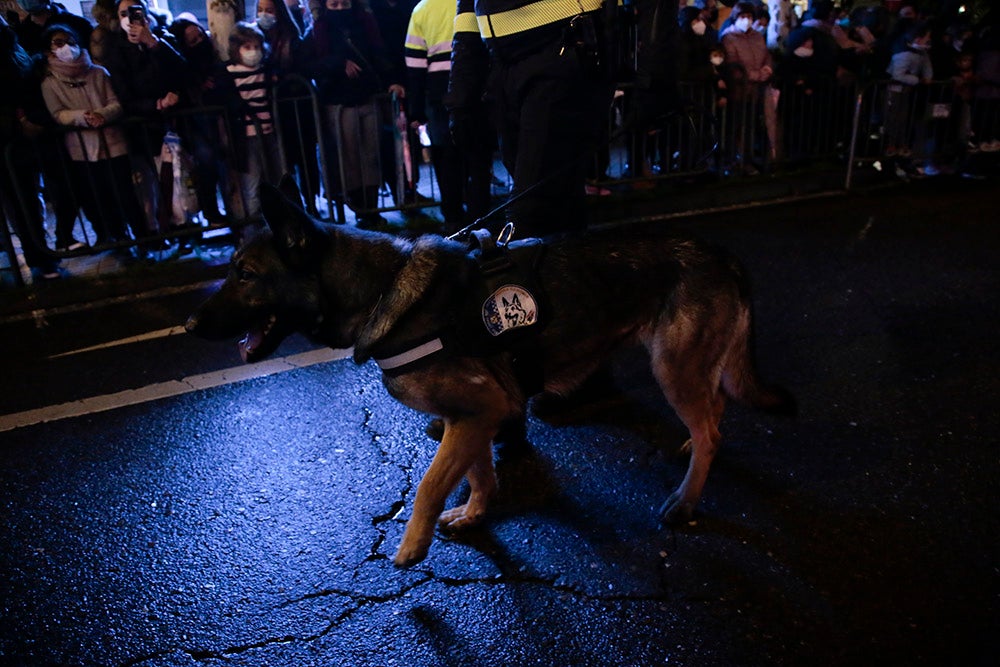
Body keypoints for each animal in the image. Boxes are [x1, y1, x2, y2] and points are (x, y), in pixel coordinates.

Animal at [188, 184, 792, 568]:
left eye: (245, 274)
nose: (190, 324)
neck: (382, 289)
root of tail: (720, 254)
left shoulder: (477, 411)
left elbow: (431, 483)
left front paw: (413, 543)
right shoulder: (475, 416)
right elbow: (477, 471)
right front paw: (476, 513)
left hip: (672, 366)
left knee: (711, 428)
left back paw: (685, 499)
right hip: (686, 368)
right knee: (713, 413)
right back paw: (692, 447)